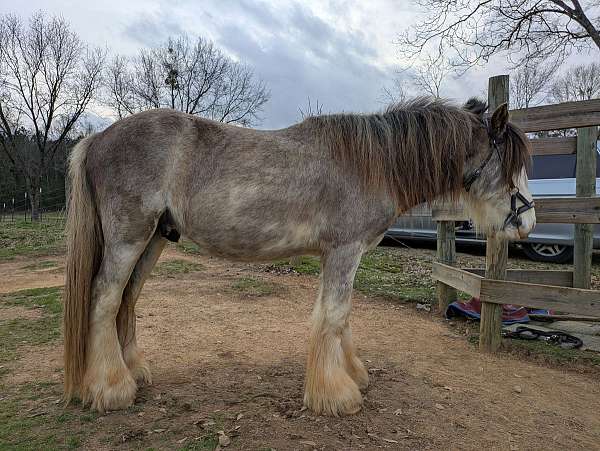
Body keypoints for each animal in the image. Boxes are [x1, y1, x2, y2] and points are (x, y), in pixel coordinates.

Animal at [63, 98, 536, 416]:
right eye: (510, 163)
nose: (527, 221)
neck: (370, 164)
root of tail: (98, 137)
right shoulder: (344, 252)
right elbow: (333, 317)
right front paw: (335, 394)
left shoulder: (339, 256)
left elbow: (339, 317)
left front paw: (352, 375)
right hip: (129, 238)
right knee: (105, 297)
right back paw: (110, 388)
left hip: (154, 240)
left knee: (127, 299)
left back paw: (132, 371)